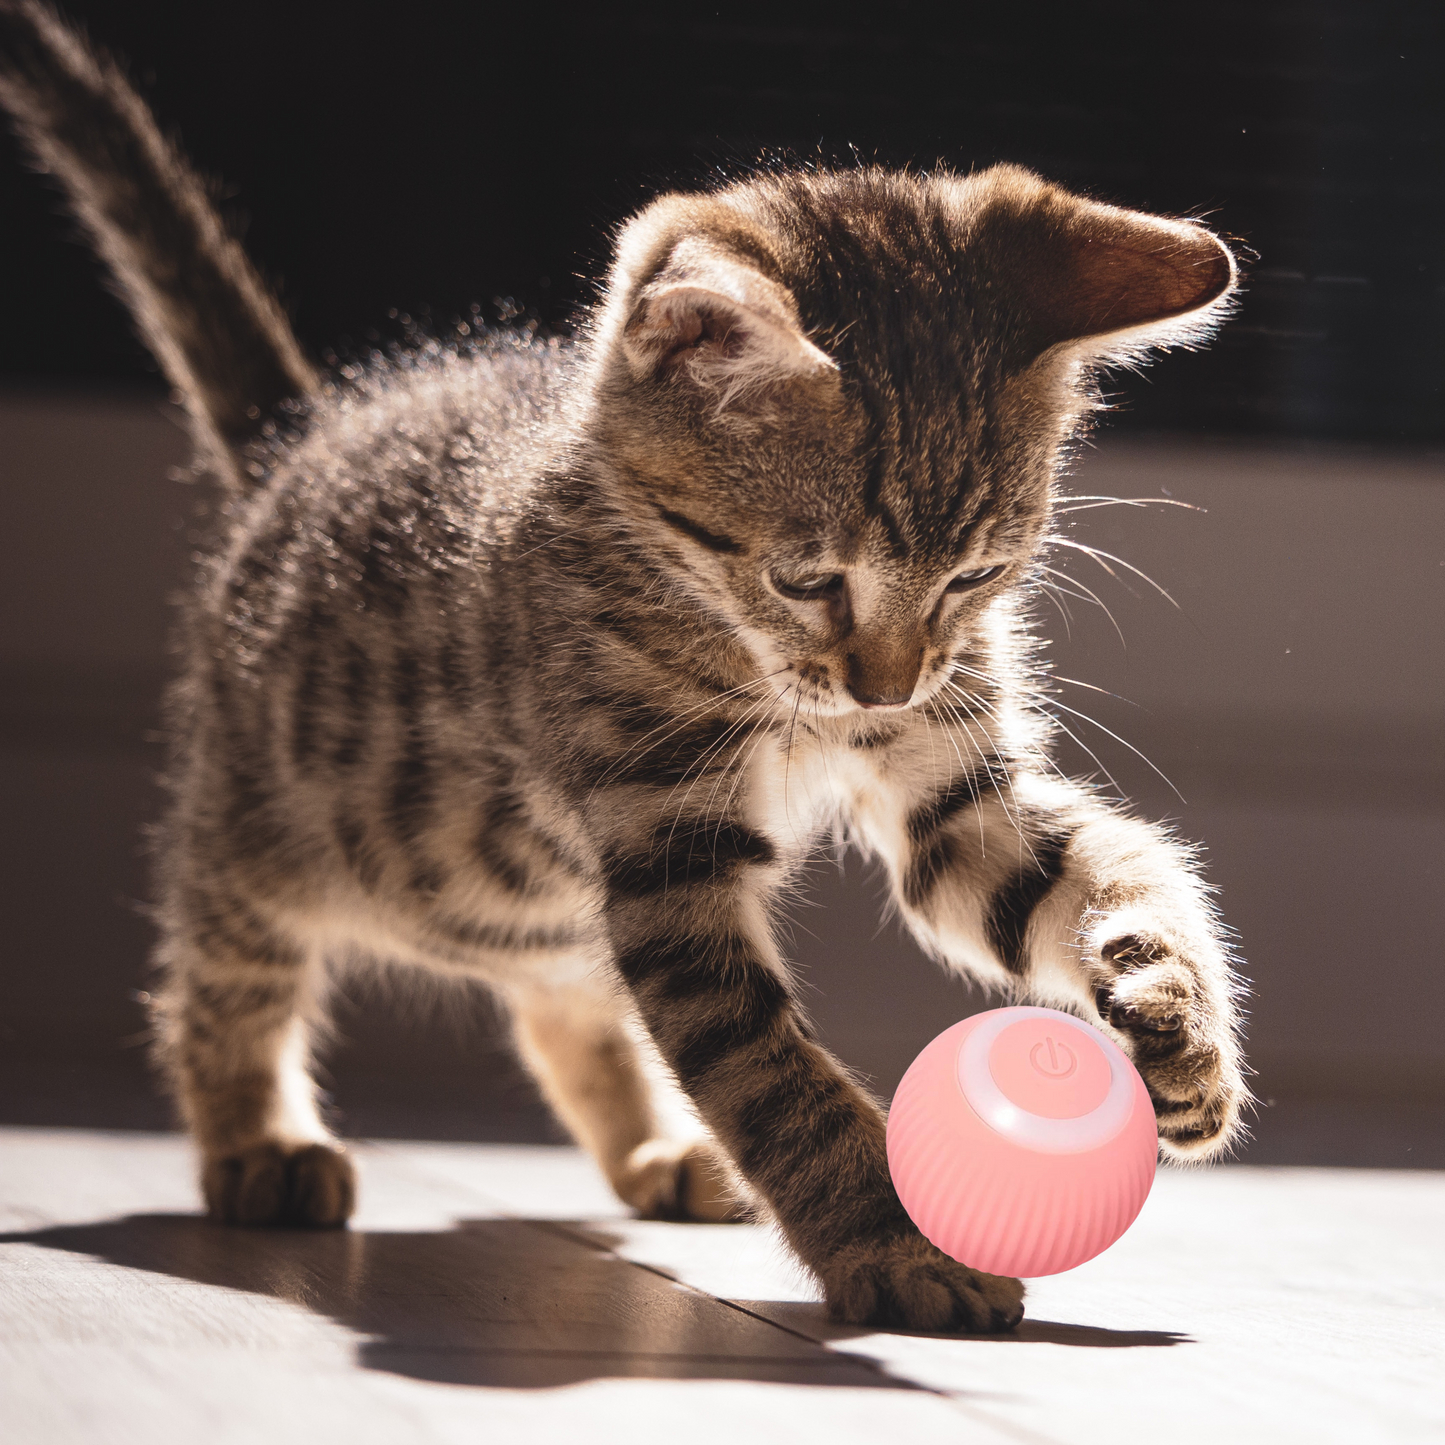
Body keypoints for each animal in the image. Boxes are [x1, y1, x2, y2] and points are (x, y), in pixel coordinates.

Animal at [0, 2, 1248, 1329]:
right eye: (810, 579)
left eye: (974, 576)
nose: (886, 684)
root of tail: (307, 443)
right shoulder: (665, 846)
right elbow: (765, 1068)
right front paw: (896, 1242)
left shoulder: (950, 793)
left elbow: (1099, 867)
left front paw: (1175, 1019)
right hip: (262, 831)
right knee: (221, 970)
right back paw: (255, 1140)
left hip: (536, 903)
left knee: (564, 999)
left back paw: (655, 1149)